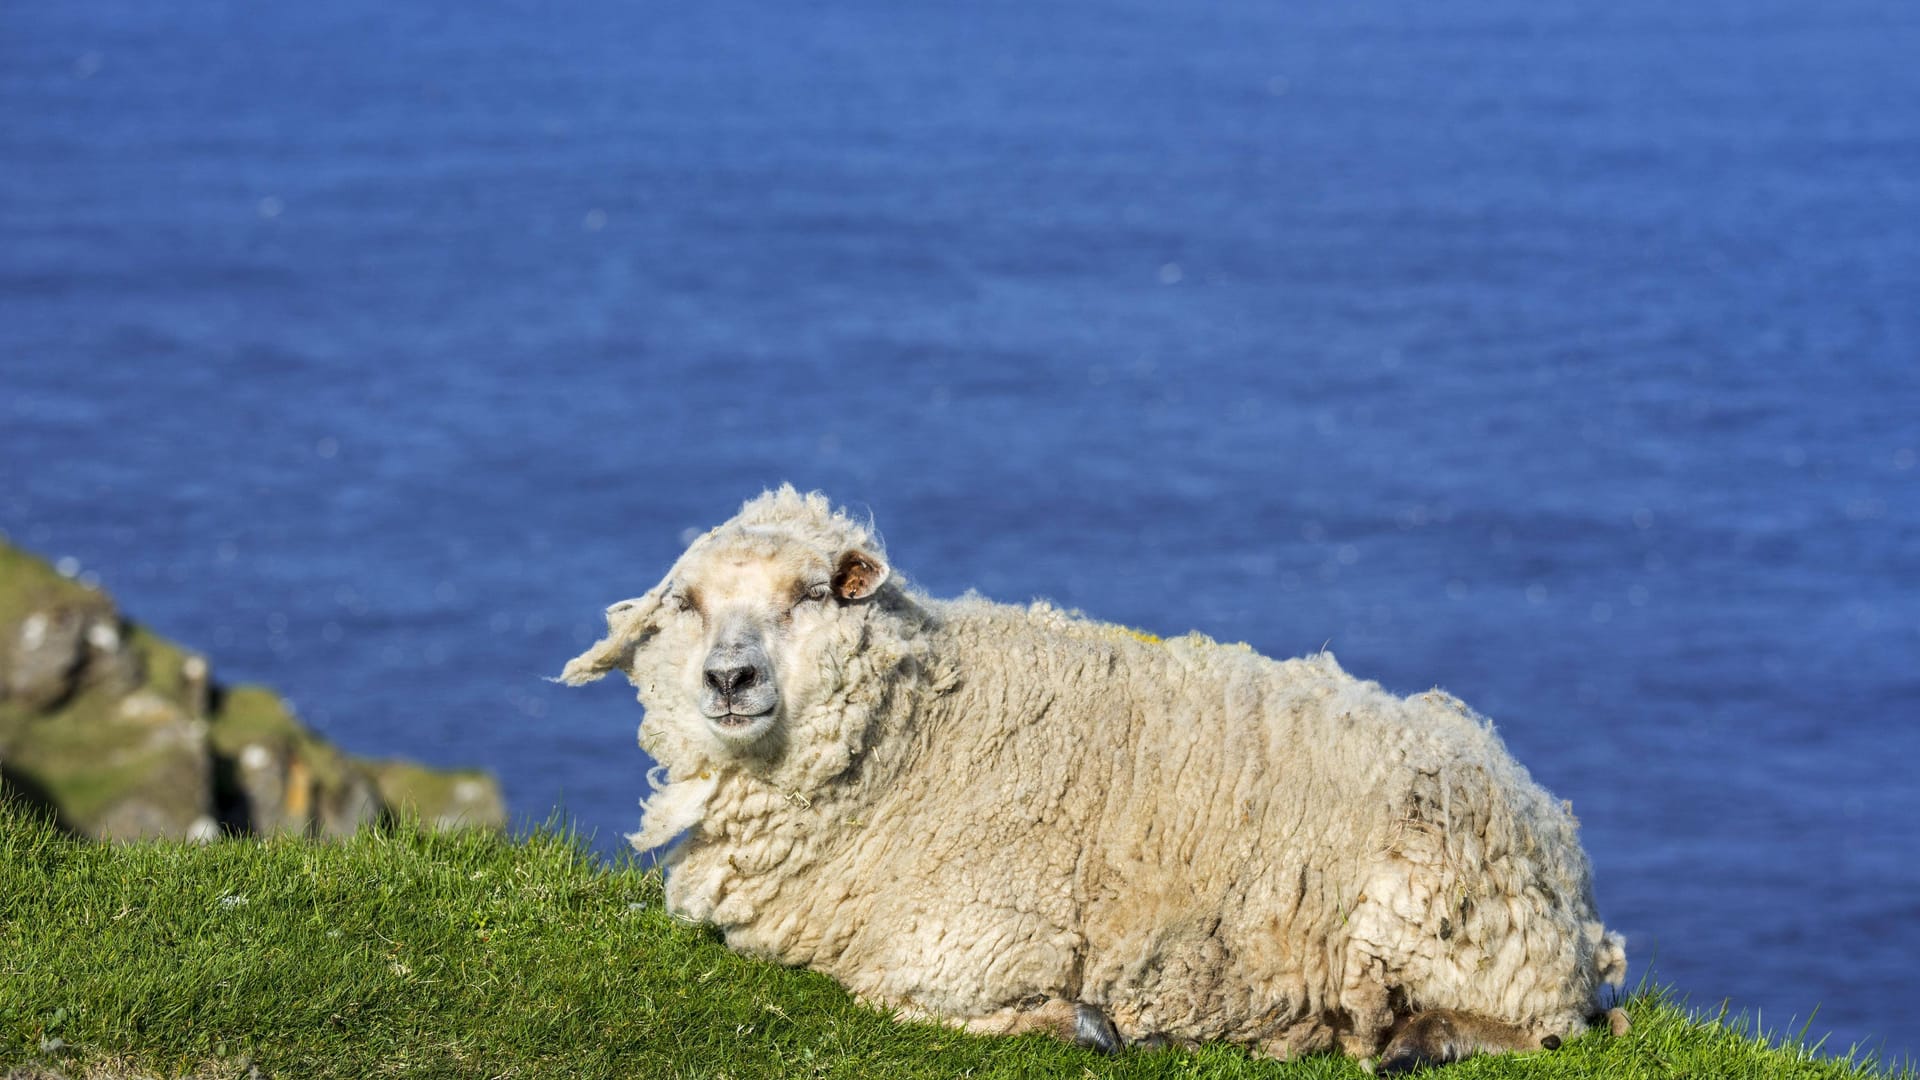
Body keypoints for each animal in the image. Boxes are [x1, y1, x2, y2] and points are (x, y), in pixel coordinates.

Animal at [560, 488, 1628, 1068]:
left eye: (811, 593)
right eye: (687, 604)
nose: (729, 679)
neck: (917, 730)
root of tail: (1551, 824)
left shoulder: (973, 939)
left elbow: (892, 1000)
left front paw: (1082, 1024)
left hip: (1444, 921)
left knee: (1552, 1032)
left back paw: (1422, 1040)